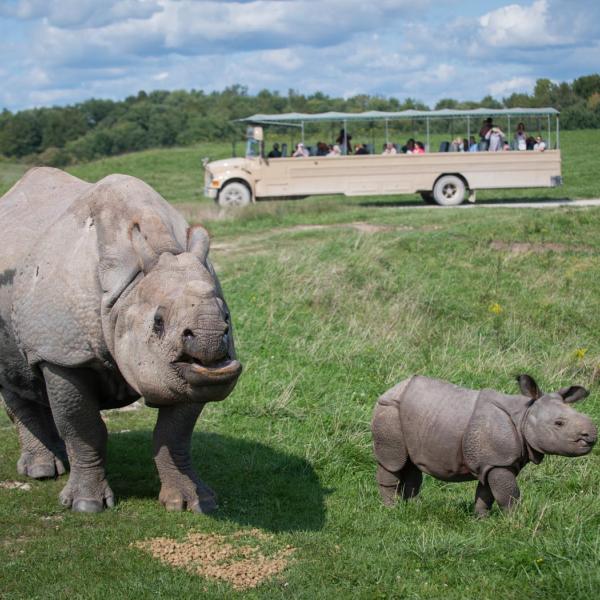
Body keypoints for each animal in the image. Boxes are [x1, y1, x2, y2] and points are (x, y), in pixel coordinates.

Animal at [0, 166, 241, 512]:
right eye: (157, 322)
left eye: (227, 319)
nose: (209, 340)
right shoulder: (64, 353)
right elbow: (84, 428)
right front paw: (86, 506)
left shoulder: (190, 375)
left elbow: (175, 434)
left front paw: (193, 502)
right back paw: (42, 472)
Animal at [370, 372, 596, 512]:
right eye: (559, 423)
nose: (591, 437)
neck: (524, 414)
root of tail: (391, 389)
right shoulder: (498, 461)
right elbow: (509, 495)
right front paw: (516, 522)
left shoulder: (494, 462)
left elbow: (487, 493)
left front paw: (481, 520)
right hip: (390, 409)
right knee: (393, 462)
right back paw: (392, 509)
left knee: (411, 464)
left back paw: (416, 508)